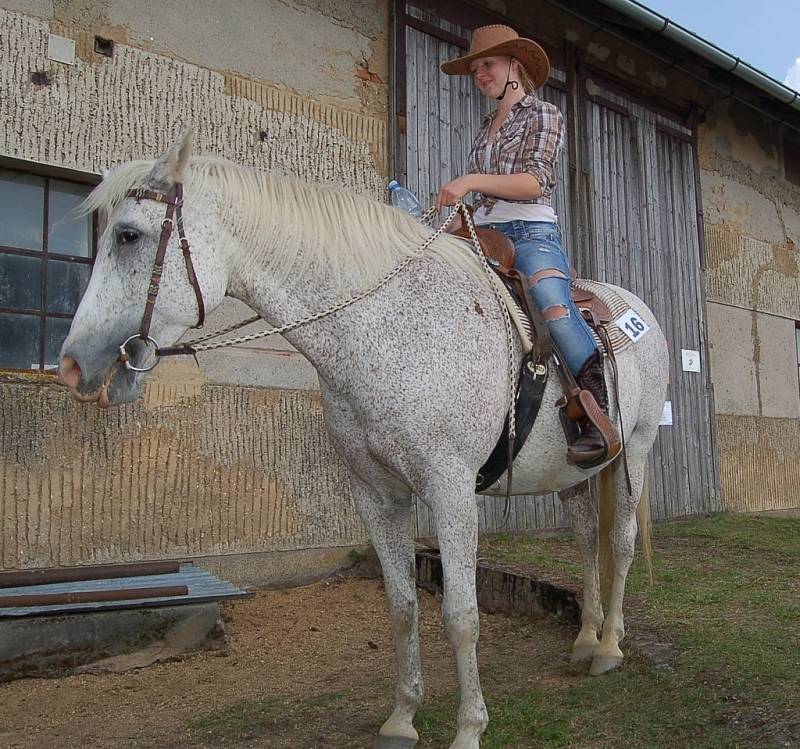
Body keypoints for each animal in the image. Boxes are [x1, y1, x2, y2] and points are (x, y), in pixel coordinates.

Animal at [57, 134, 668, 748]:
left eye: (128, 235)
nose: (72, 365)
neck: (386, 324)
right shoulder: (376, 494)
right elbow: (401, 607)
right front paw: (402, 718)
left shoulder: (449, 489)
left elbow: (461, 616)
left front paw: (469, 728)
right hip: (574, 474)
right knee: (586, 541)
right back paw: (585, 638)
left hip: (634, 451)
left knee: (619, 545)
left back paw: (609, 648)